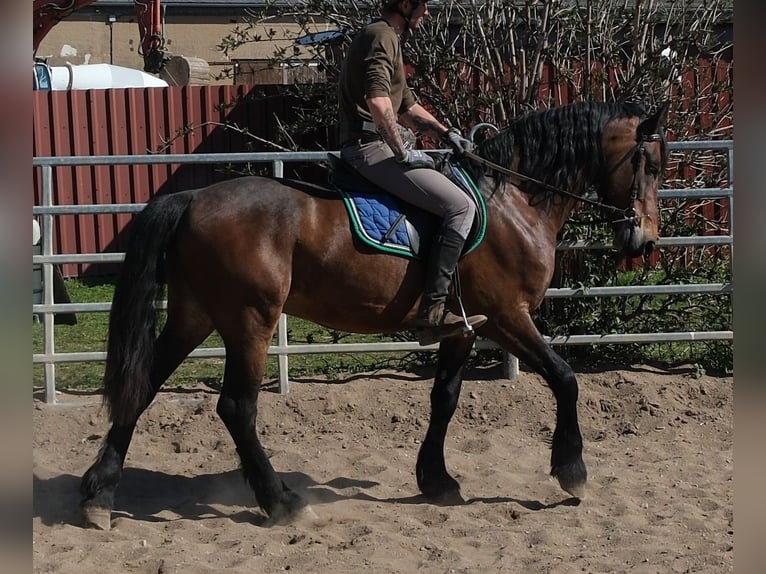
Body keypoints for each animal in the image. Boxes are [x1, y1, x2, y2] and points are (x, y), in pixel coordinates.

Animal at [80, 100, 669, 528]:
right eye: (649, 163)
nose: (644, 240)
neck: (514, 203)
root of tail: (194, 198)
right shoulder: (508, 316)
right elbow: (565, 378)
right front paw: (571, 471)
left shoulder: (464, 327)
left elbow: (445, 398)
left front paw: (437, 481)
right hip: (250, 321)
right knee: (236, 408)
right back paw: (281, 502)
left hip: (195, 315)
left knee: (143, 386)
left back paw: (99, 493)